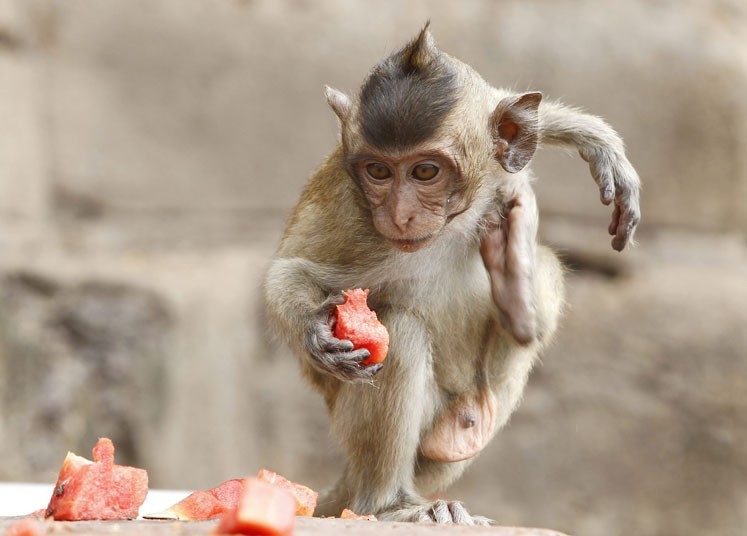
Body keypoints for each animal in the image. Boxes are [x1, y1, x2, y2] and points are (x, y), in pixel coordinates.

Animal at [264, 24, 644, 524]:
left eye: (426, 171)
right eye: (378, 170)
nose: (400, 215)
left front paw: (596, 142)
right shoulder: (350, 213)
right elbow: (288, 271)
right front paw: (314, 331)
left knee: (538, 273)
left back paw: (516, 290)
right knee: (401, 331)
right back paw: (390, 503)